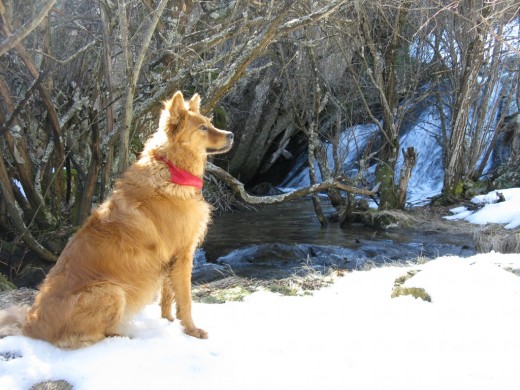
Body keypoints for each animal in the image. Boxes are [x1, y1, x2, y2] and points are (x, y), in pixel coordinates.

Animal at [0, 90, 234, 348]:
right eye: (202, 128)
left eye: (211, 123)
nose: (231, 135)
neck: (171, 170)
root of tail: (31, 326)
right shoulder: (183, 254)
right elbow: (185, 299)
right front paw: (192, 330)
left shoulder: (170, 259)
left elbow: (167, 297)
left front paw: (168, 322)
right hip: (111, 291)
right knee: (93, 336)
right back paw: (125, 336)